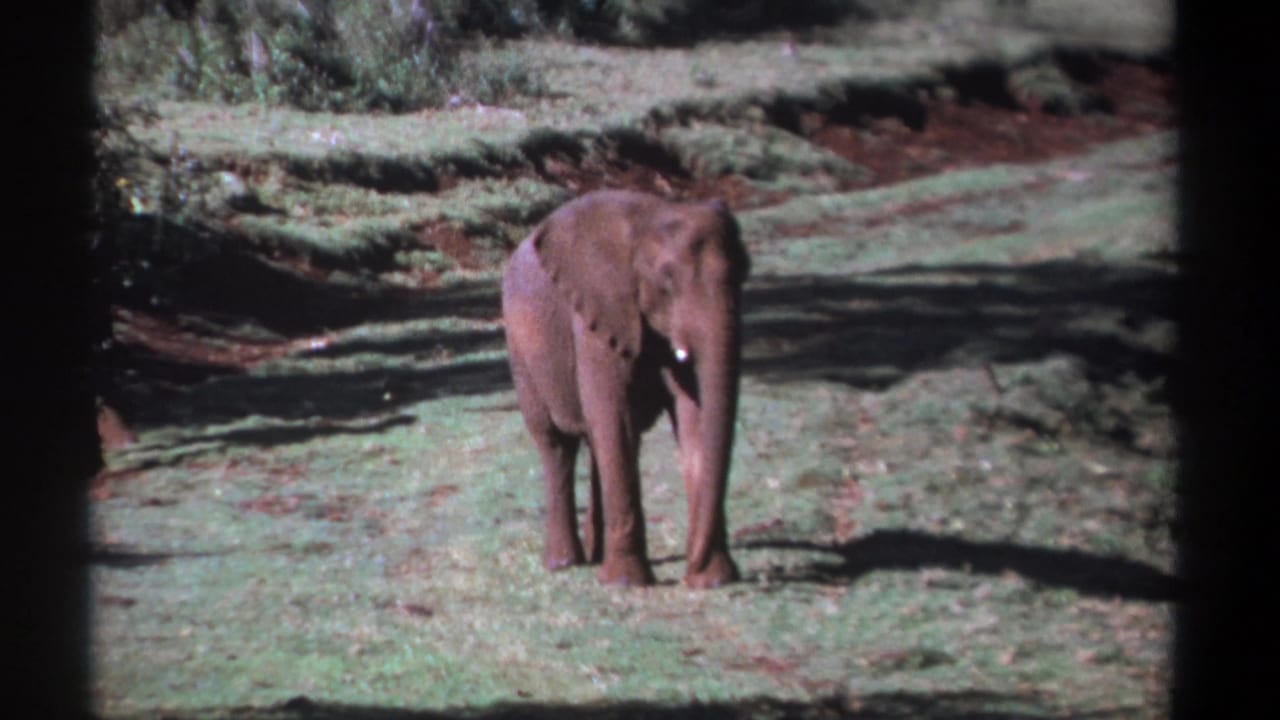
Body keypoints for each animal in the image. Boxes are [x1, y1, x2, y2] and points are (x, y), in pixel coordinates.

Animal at [501, 190, 750, 588]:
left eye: (744, 273)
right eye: (667, 278)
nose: (690, 569)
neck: (653, 216)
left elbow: (693, 418)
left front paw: (713, 580)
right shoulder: (596, 315)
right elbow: (613, 418)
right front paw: (625, 583)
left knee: (595, 443)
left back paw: (595, 554)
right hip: (520, 352)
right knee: (556, 445)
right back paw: (564, 563)